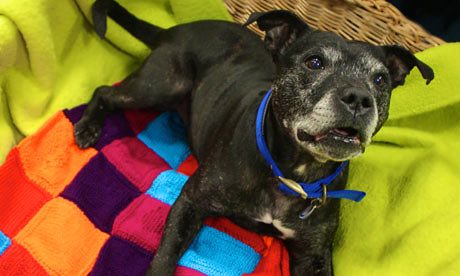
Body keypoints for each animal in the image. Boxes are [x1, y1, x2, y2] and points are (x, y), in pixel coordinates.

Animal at [73, 1, 434, 274]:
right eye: (314, 62)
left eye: (380, 79)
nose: (359, 98)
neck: (293, 174)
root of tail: (177, 29)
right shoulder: (190, 202)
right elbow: (164, 256)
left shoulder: (313, 254)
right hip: (162, 84)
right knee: (105, 91)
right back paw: (89, 126)